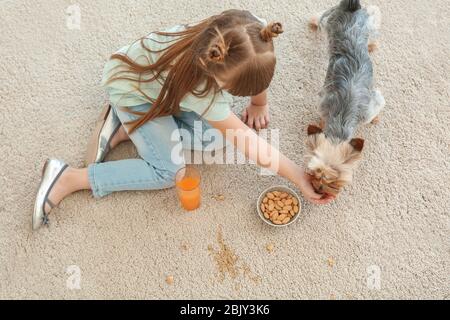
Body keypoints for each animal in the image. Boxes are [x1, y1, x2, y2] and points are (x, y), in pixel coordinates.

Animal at [308, 0, 384, 196]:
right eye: (315, 173)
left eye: (334, 181)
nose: (318, 189)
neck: (341, 121)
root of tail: (351, 7)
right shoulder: (323, 103)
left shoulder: (372, 105)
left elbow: (375, 111)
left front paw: (376, 119)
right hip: (329, 21)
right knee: (321, 17)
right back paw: (313, 22)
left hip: (368, 22)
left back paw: (371, 45)